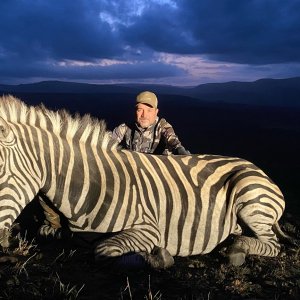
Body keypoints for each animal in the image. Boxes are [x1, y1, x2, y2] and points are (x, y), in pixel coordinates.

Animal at [0, 95, 290, 268]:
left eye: (0, 171)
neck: (94, 187)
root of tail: (257, 169)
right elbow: (51, 231)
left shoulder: (148, 228)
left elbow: (104, 250)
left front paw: (160, 257)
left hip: (251, 199)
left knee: (273, 245)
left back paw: (236, 249)